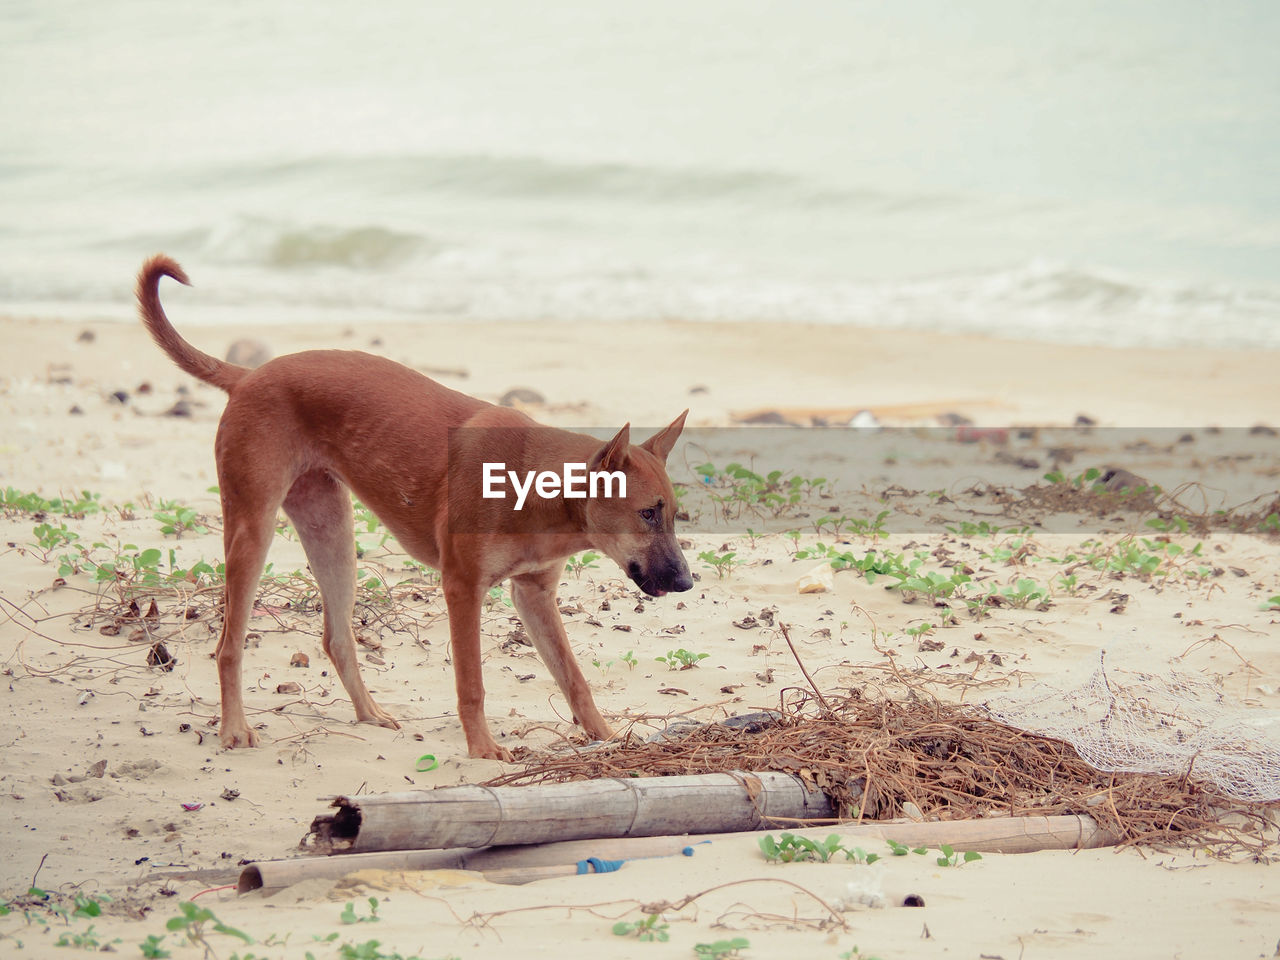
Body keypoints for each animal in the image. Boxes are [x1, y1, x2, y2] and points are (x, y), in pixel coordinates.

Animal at [137, 253, 691, 757]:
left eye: (672, 514)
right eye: (647, 513)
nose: (687, 582)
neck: (536, 485)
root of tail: (248, 375)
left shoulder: (534, 595)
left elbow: (575, 679)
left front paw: (608, 738)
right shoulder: (462, 589)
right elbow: (472, 684)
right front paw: (482, 749)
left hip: (332, 534)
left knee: (337, 639)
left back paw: (369, 714)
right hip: (253, 530)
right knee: (228, 645)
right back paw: (234, 728)